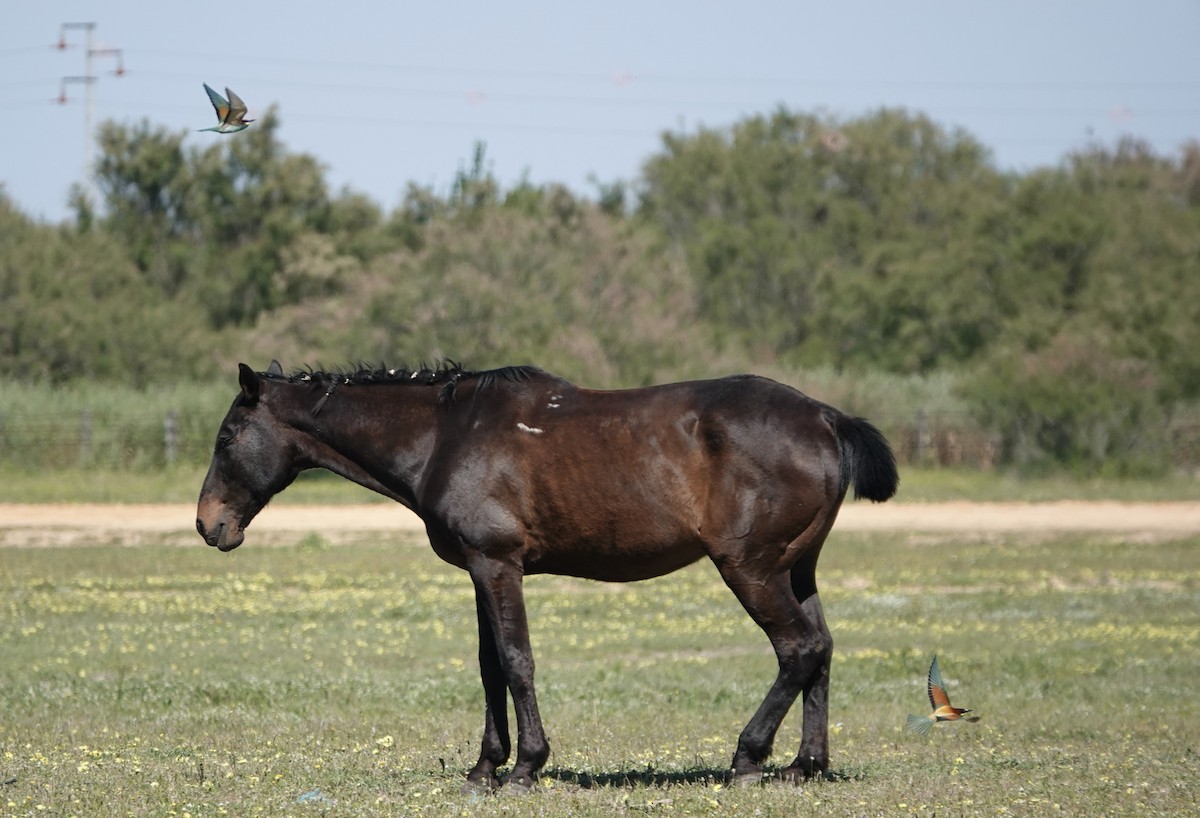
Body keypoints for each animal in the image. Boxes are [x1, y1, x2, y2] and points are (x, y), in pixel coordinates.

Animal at [196, 357, 897, 791]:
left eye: (227, 438)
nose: (209, 525)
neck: (446, 434)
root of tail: (827, 417)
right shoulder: (480, 571)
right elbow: (489, 667)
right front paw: (485, 767)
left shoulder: (497, 565)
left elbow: (515, 661)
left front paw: (525, 767)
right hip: (795, 569)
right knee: (820, 649)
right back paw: (805, 765)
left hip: (750, 570)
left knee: (796, 649)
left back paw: (748, 757)